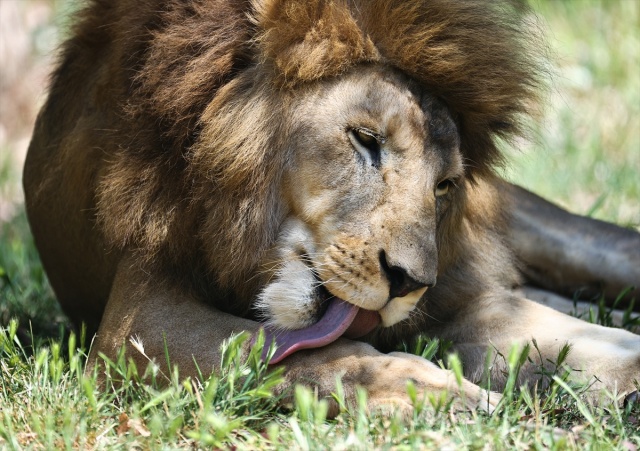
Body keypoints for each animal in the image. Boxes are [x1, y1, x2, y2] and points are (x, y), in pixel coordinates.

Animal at [22, 0, 636, 414]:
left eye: (444, 186)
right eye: (366, 140)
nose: (408, 282)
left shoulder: (458, 293)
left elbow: (558, 337)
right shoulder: (135, 318)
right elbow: (293, 352)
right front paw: (433, 392)